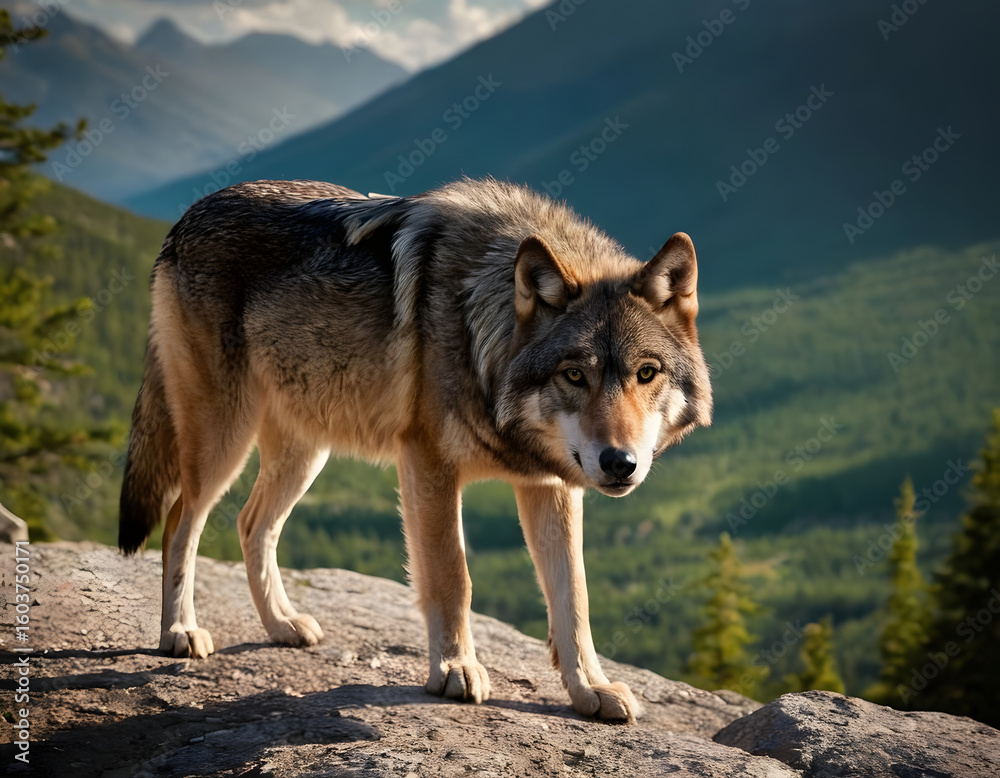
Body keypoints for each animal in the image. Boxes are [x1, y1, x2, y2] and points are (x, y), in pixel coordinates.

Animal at [119, 177, 712, 722]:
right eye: (574, 375)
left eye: (646, 374)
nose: (620, 463)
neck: (481, 333)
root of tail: (190, 214)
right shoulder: (429, 463)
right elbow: (453, 575)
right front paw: (454, 669)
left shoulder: (550, 484)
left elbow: (574, 597)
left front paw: (591, 689)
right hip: (223, 438)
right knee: (180, 522)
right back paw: (180, 631)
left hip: (305, 453)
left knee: (251, 523)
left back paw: (282, 625)